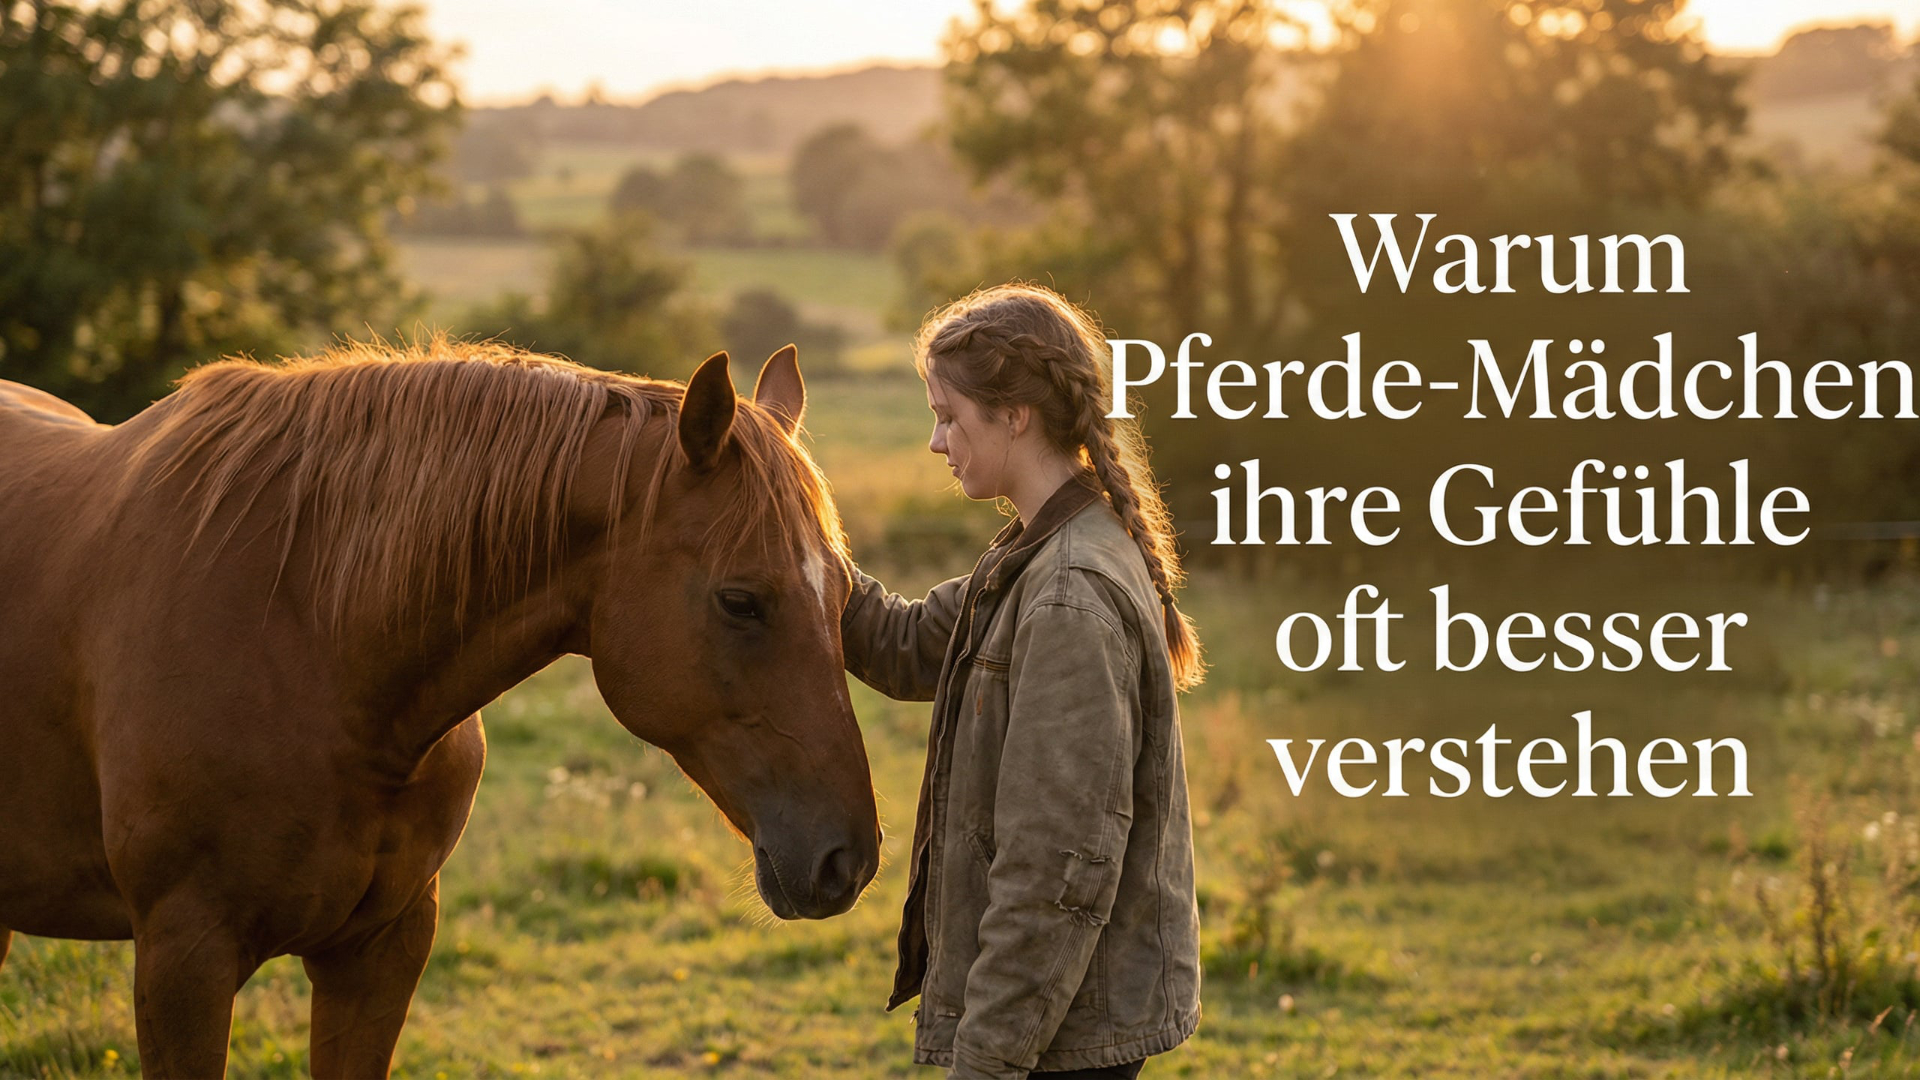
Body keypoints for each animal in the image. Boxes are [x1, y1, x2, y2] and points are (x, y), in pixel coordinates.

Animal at [0, 341, 880, 1078]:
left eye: (845, 594)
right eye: (740, 601)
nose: (850, 859)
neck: (305, 632)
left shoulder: (383, 947)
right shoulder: (183, 959)